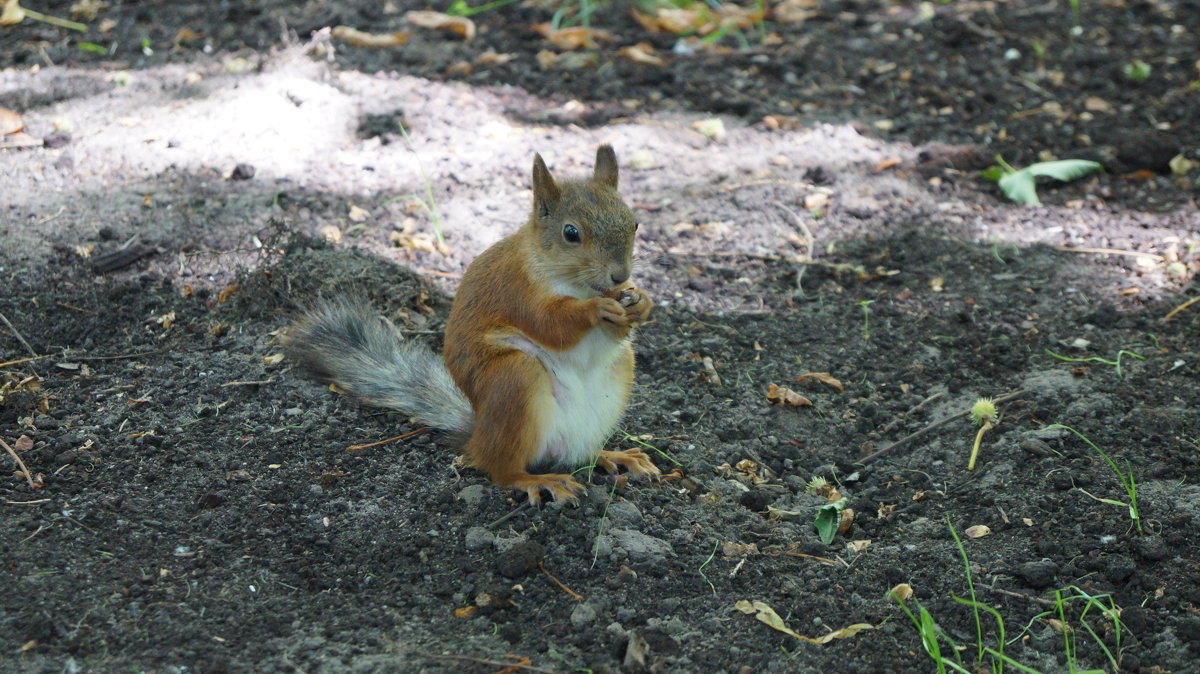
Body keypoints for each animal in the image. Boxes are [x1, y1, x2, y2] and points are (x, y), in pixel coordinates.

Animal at [285, 146, 662, 503]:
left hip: (616, 379)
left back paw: (615, 456)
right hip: (515, 379)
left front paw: (641, 301)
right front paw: (596, 309)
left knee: (582, 456)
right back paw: (536, 480)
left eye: (635, 223)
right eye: (571, 233)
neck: (575, 282)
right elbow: (550, 323)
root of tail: (478, 435)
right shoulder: (518, 291)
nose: (620, 275)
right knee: (501, 469)